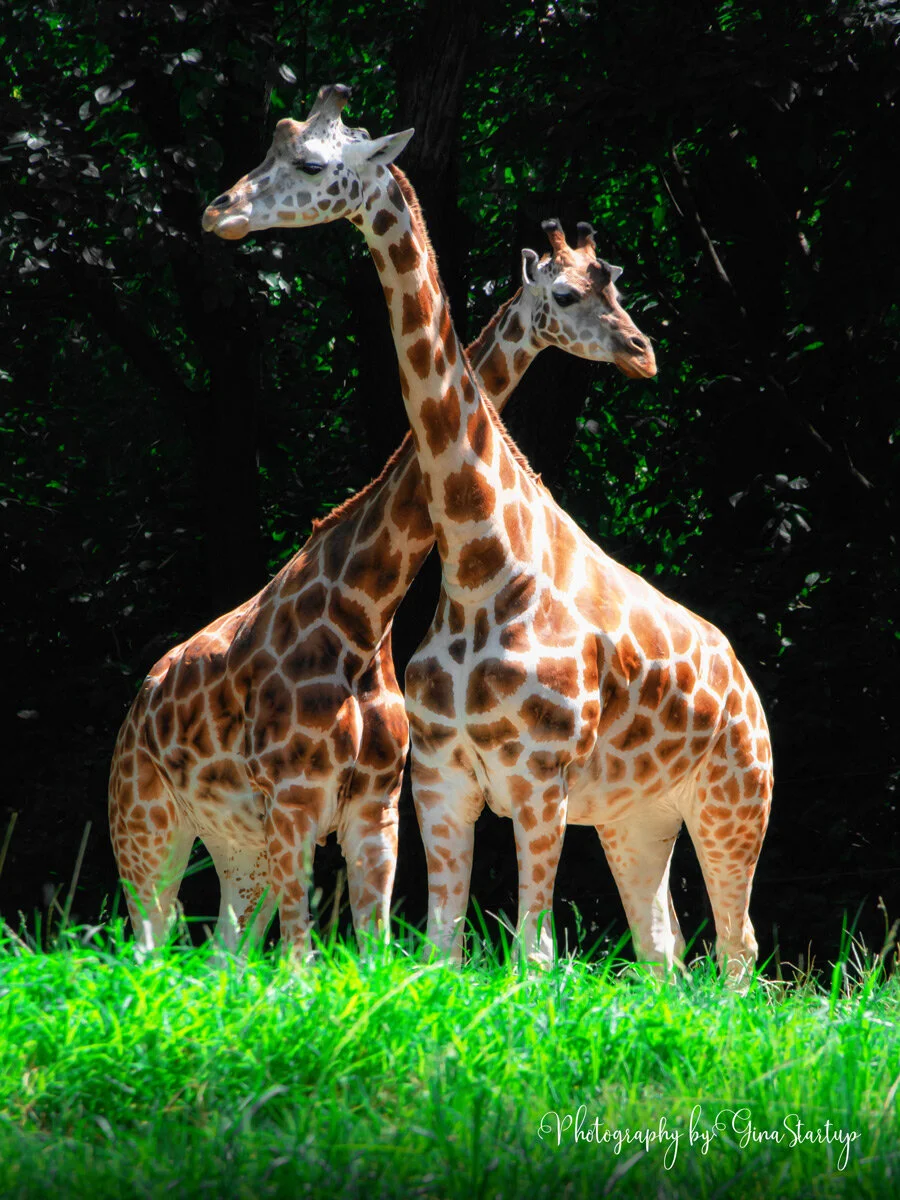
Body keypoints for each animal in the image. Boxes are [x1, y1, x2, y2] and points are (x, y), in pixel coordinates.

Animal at [109, 118, 654, 956]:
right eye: (564, 294)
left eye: (614, 291)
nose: (641, 352)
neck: (367, 608)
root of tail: (136, 704)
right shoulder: (298, 800)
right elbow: (308, 959)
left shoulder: (373, 810)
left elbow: (376, 953)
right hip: (146, 827)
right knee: (145, 945)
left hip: (235, 847)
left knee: (221, 955)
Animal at [199, 84, 771, 983]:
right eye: (276, 149)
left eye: (313, 165)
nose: (219, 211)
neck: (478, 561)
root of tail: (747, 682)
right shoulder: (441, 779)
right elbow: (441, 947)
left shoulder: (538, 779)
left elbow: (534, 956)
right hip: (638, 815)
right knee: (666, 950)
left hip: (733, 799)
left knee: (739, 950)